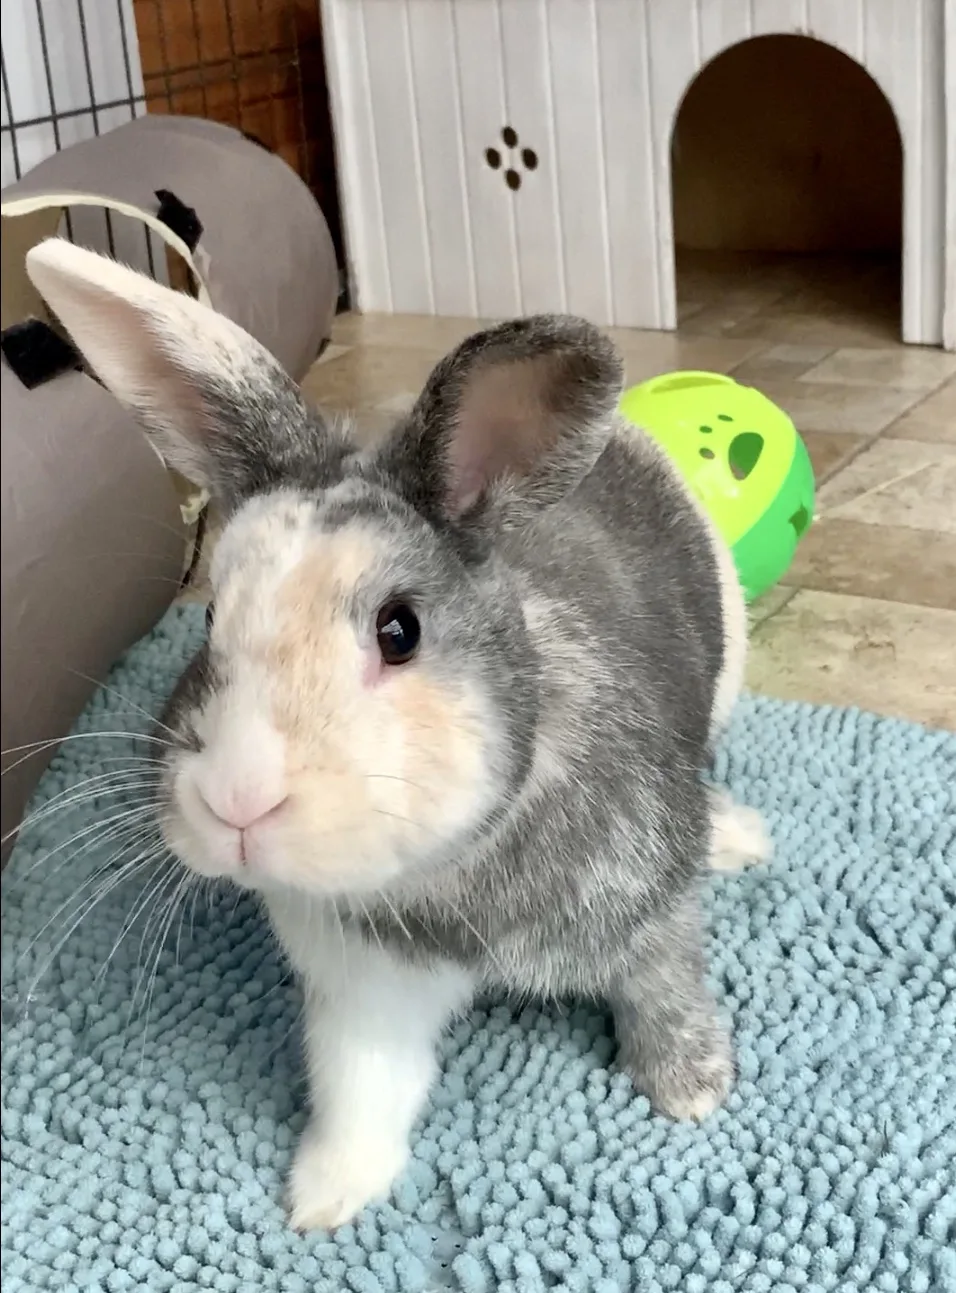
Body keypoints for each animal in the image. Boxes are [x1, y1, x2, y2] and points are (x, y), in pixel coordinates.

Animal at [26, 238, 769, 1232]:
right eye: (211, 616)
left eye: (400, 630)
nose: (235, 802)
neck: (440, 881)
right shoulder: (362, 992)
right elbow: (362, 1086)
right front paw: (326, 1197)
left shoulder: (649, 911)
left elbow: (668, 986)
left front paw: (689, 1089)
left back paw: (735, 836)